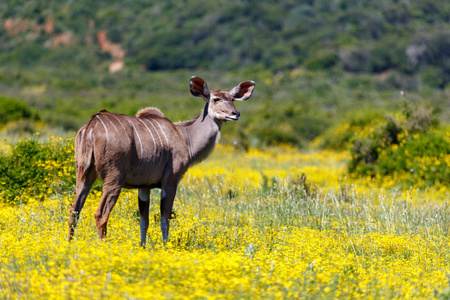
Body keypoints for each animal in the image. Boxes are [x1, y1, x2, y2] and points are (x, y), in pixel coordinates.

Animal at [68, 76, 255, 245]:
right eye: (215, 99)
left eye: (232, 99)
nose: (235, 114)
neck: (185, 137)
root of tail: (92, 126)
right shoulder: (170, 181)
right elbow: (165, 218)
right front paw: (166, 247)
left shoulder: (144, 187)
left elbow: (144, 220)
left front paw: (143, 246)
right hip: (114, 177)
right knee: (100, 214)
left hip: (84, 174)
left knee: (74, 211)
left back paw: (69, 245)